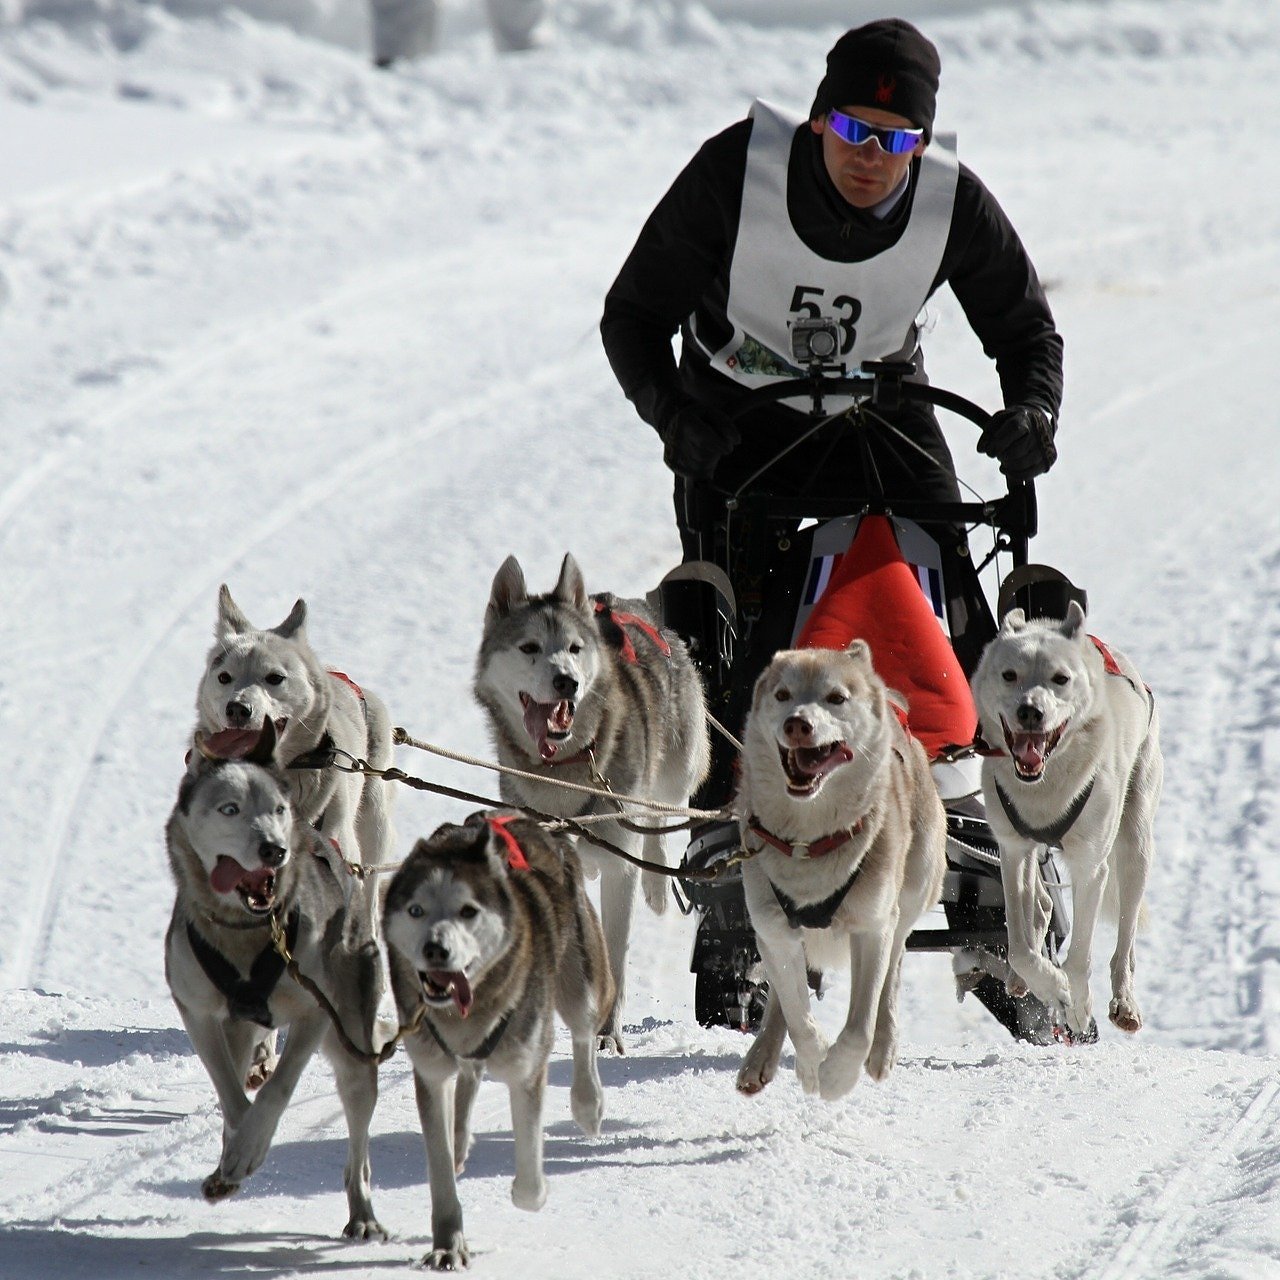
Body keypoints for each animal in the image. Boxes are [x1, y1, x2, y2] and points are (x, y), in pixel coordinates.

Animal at [165, 721, 394, 1228]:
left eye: (277, 809)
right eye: (230, 809)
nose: (275, 849)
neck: (247, 932)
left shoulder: (314, 1014)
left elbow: (277, 1090)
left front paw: (250, 1150)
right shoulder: (198, 1014)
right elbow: (232, 1098)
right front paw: (234, 1157)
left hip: (352, 1044)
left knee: (359, 1146)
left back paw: (363, 1212)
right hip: (243, 1028)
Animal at [384, 808, 614, 1269]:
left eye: (468, 911)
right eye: (416, 910)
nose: (435, 949)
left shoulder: (525, 1069)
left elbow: (529, 1180)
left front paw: (532, 1190)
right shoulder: (431, 1072)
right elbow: (439, 1168)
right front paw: (448, 1243)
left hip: (579, 986)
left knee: (583, 1036)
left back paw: (588, 1104)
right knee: (469, 1080)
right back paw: (460, 1141)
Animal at [473, 552, 711, 1049]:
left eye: (574, 648)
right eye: (529, 648)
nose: (567, 681)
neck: (562, 772)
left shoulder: (620, 863)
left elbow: (616, 957)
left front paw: (607, 1034)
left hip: (678, 767)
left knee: (659, 816)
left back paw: (656, 882)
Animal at [732, 645, 952, 1105]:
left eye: (836, 698)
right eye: (782, 695)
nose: (797, 723)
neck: (809, 841)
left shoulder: (871, 928)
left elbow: (858, 1026)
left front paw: (836, 1075)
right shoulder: (774, 931)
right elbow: (798, 1014)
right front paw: (813, 1061)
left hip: (909, 896)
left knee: (891, 978)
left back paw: (883, 1048)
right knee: (782, 997)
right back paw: (764, 1056)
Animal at [972, 604, 1167, 1034]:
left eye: (1060, 678)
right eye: (1009, 675)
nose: (1030, 711)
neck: (1045, 785)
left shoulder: (1090, 866)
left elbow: (1079, 955)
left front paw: (1076, 1002)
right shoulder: (1011, 850)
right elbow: (1020, 946)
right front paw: (1048, 983)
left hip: (1135, 849)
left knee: (1124, 944)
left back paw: (1124, 1002)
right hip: (1030, 855)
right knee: (1040, 907)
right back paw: (1021, 977)